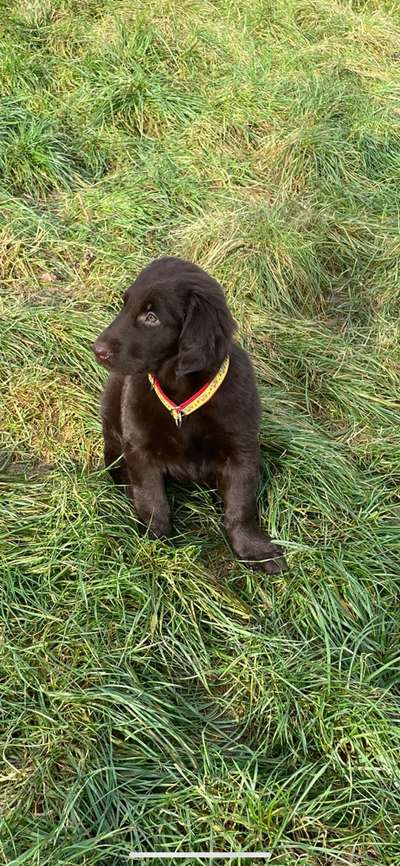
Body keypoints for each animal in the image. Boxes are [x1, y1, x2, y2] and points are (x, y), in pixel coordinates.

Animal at [94, 253, 288, 572]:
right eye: (125, 305)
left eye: (151, 317)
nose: (97, 349)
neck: (182, 401)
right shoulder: (140, 448)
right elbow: (152, 498)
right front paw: (155, 543)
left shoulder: (242, 450)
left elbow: (241, 505)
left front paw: (254, 550)